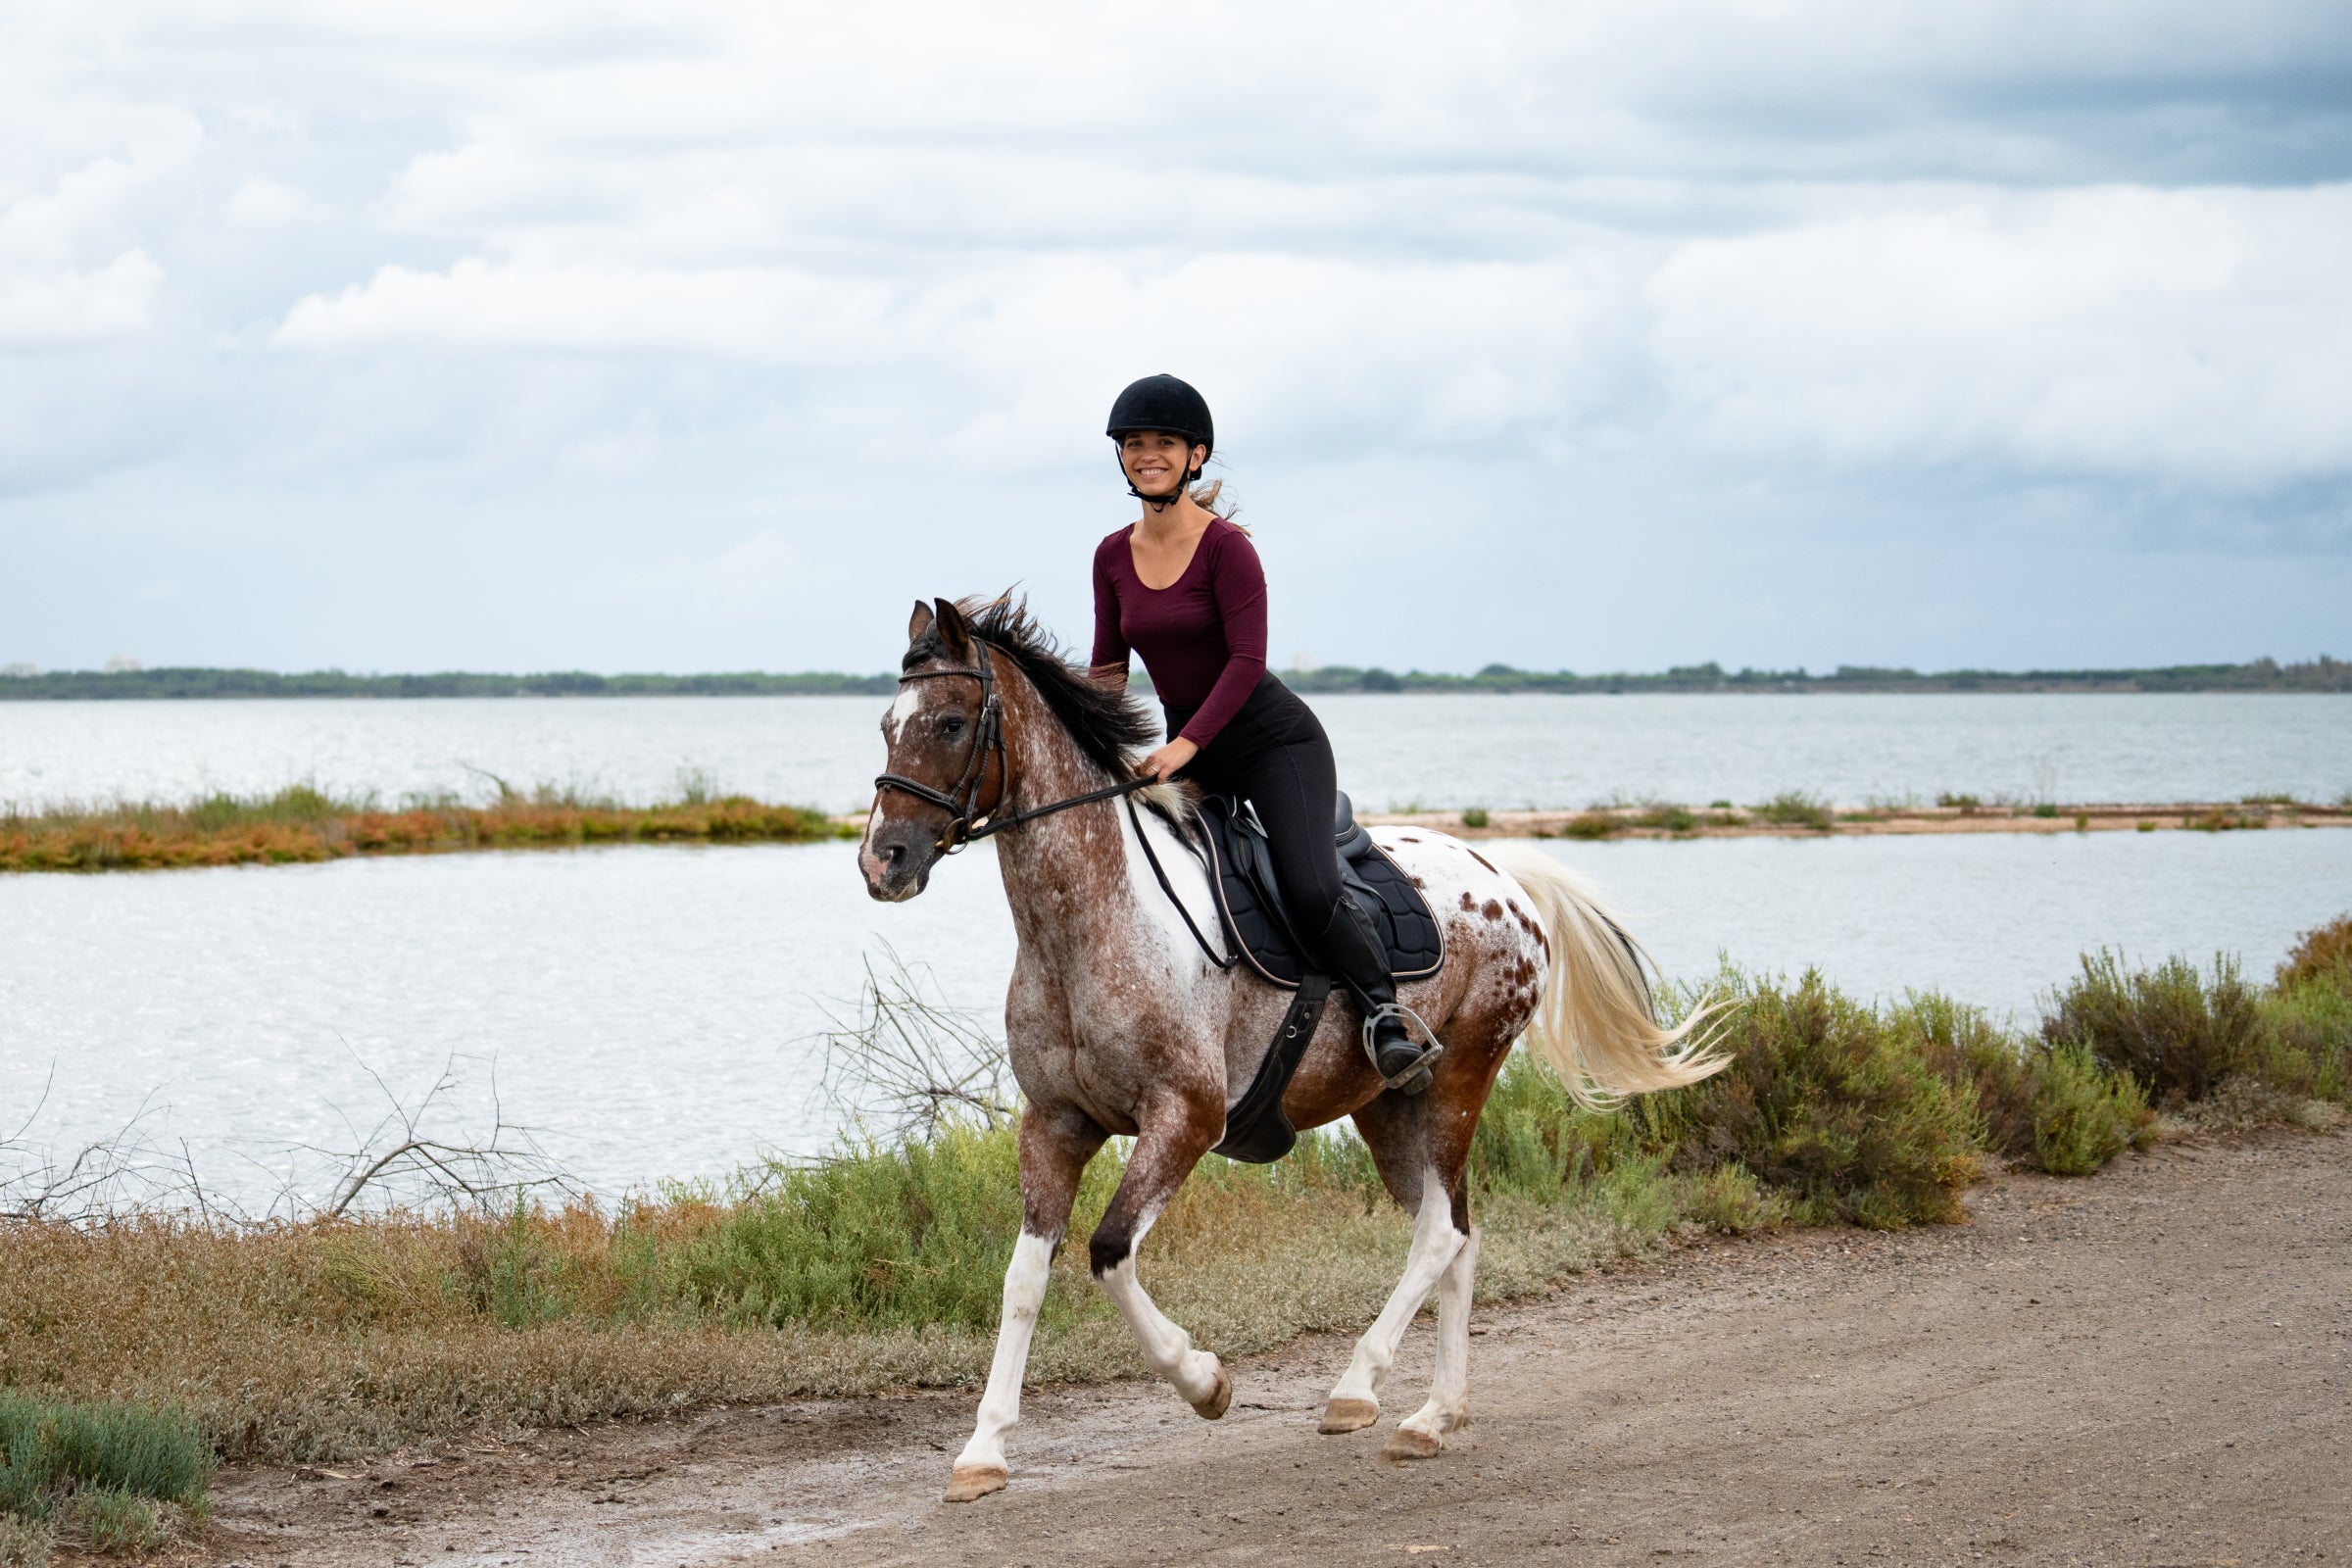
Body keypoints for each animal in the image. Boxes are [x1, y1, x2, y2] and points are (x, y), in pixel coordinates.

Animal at [856, 594, 1721, 1504]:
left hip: (1463, 1076)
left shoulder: (1186, 1118)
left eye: (951, 722)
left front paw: (1204, 1380)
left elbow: (1109, 1252)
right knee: (1458, 1232)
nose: (883, 862)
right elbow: (1024, 1280)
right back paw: (1435, 1415)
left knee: (1440, 1236)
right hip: (1391, 1108)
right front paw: (983, 1450)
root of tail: (1505, 878)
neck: (1085, 924)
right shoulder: (1055, 1124)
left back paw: (1360, 1390)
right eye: (887, 725)